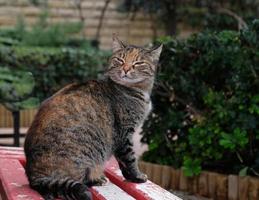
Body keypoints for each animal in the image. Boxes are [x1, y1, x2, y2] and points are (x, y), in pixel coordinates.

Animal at [24, 35, 162, 199]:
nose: (126, 69)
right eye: (120, 60)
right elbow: (129, 160)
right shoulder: (124, 134)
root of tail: (34, 176)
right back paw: (96, 179)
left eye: (138, 63)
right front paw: (137, 177)